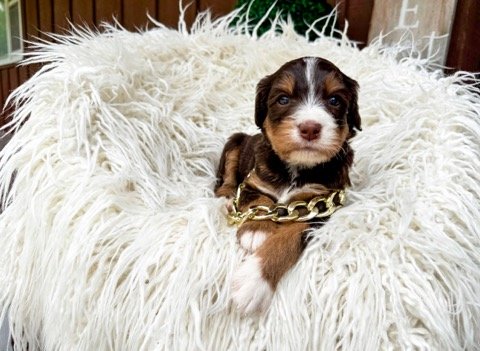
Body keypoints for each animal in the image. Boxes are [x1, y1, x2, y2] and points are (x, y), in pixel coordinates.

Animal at [214, 56, 360, 314]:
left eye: (334, 100)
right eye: (283, 99)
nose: (310, 128)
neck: (297, 168)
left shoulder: (321, 204)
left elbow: (291, 234)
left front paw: (252, 283)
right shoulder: (253, 181)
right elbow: (259, 199)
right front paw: (257, 230)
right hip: (236, 141)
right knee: (228, 177)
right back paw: (226, 197)